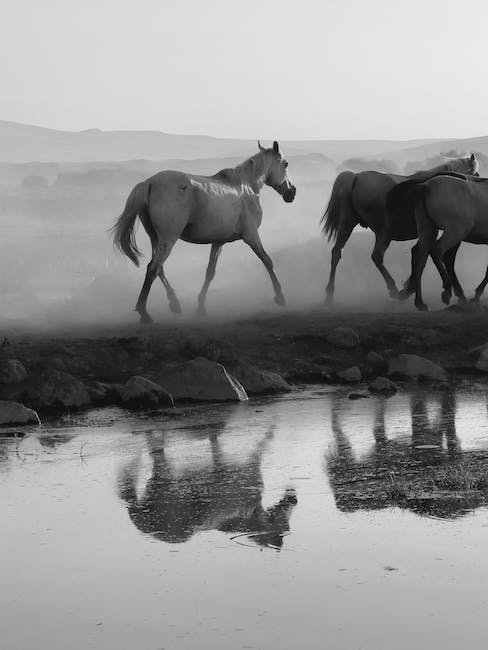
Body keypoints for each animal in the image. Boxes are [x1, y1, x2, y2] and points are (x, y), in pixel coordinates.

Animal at [111, 144, 296, 322]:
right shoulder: (251, 236)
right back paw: (144, 312)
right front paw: (280, 297)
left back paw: (175, 304)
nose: (291, 192)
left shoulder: (218, 242)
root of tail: (149, 182)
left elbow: (210, 273)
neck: (246, 187)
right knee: (153, 268)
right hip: (168, 239)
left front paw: (200, 307)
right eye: (285, 163)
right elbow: (267, 260)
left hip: (155, 238)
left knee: (159, 268)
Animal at [322, 154, 478, 304]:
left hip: (347, 224)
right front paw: (409, 288)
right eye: (475, 173)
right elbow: (424, 254)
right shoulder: (430, 232)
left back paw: (329, 294)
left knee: (336, 252)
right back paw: (394, 289)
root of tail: (355, 177)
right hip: (383, 232)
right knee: (376, 256)